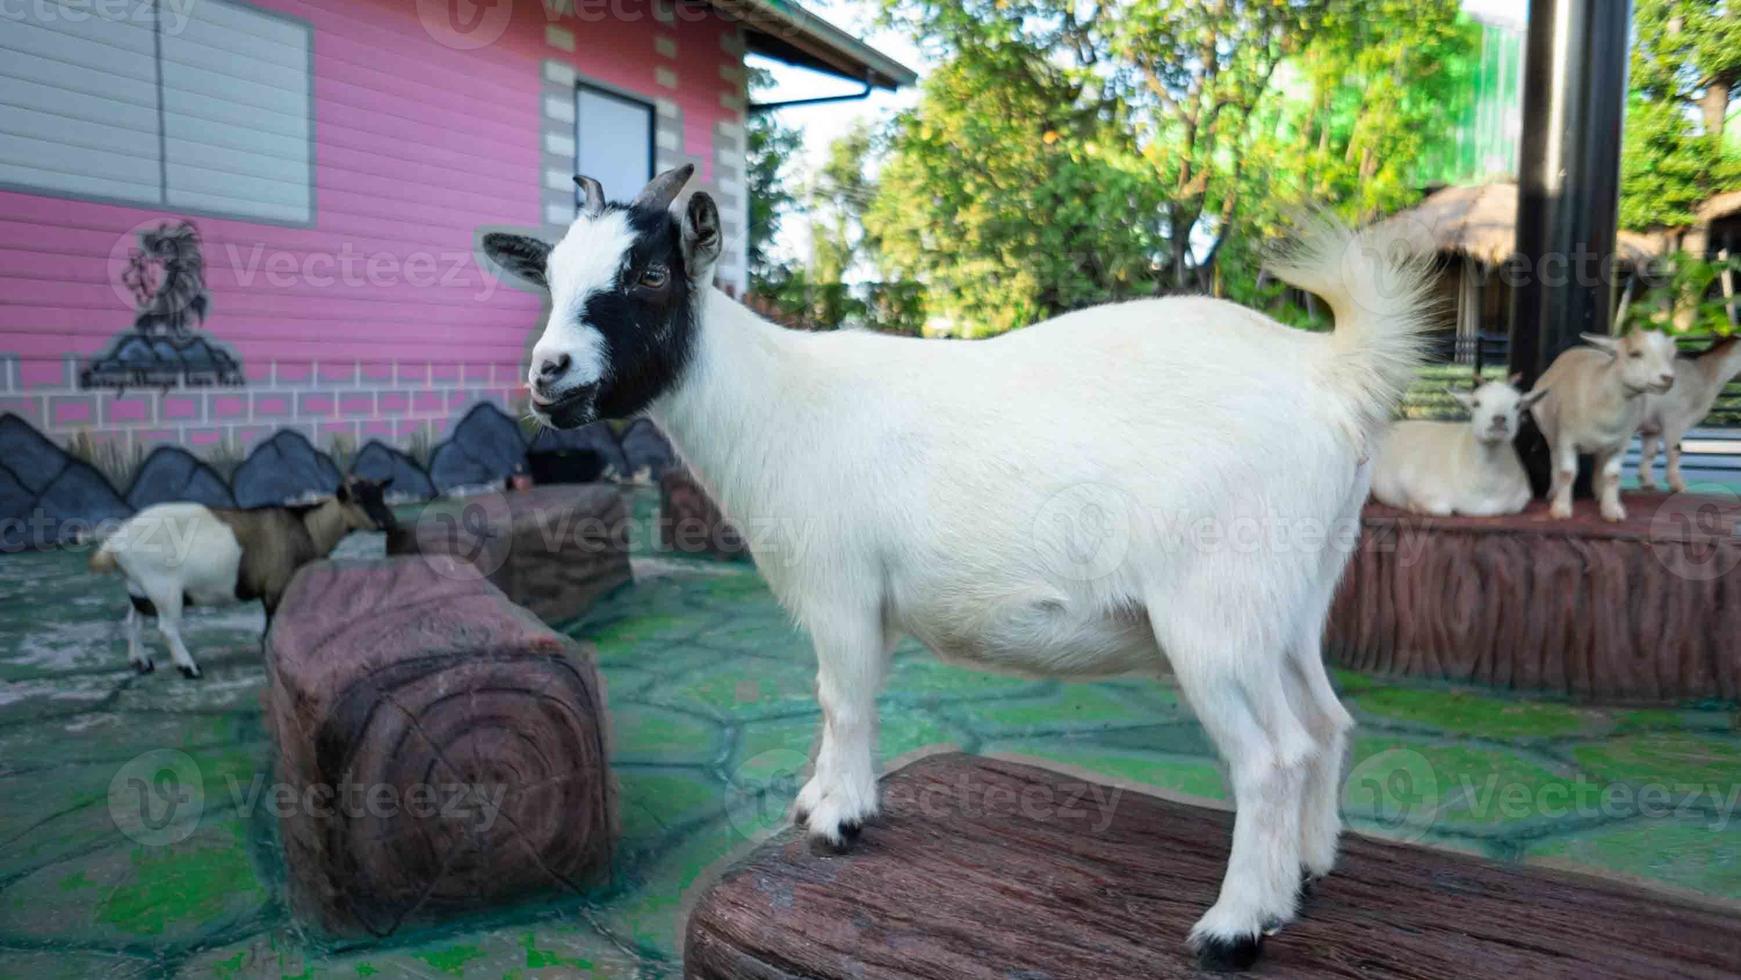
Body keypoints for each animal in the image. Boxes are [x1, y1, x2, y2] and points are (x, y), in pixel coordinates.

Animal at [88, 476, 395, 678]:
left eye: (380, 496)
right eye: (358, 500)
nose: (388, 522)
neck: (308, 527)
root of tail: (115, 543)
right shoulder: (277, 584)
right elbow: (274, 620)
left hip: (140, 587)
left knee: (134, 619)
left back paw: (141, 662)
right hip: (164, 587)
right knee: (167, 628)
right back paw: (189, 668)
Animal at [483, 170, 1434, 974]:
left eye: (649, 275)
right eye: (551, 277)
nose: (547, 375)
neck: (777, 402)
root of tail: (1331, 373)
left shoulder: (841, 586)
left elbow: (842, 699)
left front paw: (837, 819)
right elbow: (836, 700)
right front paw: (816, 799)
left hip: (1213, 613)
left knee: (1273, 756)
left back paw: (1234, 927)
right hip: (1292, 595)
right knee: (1324, 724)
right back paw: (1302, 874)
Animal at [1364, 377, 1546, 518]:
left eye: (1517, 405)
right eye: (1476, 403)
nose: (1499, 419)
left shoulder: (1519, 501)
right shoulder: (1421, 489)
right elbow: (1442, 510)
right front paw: (1413, 507)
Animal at [1532, 332, 1678, 522]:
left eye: (1669, 354)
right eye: (1634, 353)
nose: (1668, 378)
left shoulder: (1621, 443)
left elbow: (1612, 474)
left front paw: (1611, 509)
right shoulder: (1567, 439)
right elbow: (1567, 472)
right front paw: (1561, 509)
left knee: (1600, 462)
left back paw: (1600, 494)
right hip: (1550, 432)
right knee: (1555, 457)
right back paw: (1554, 492)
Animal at [1636, 339, 1734, 494]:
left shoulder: (1652, 427)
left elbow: (1650, 452)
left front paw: (1648, 484)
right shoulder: (1674, 419)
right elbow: (1675, 450)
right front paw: (1678, 486)